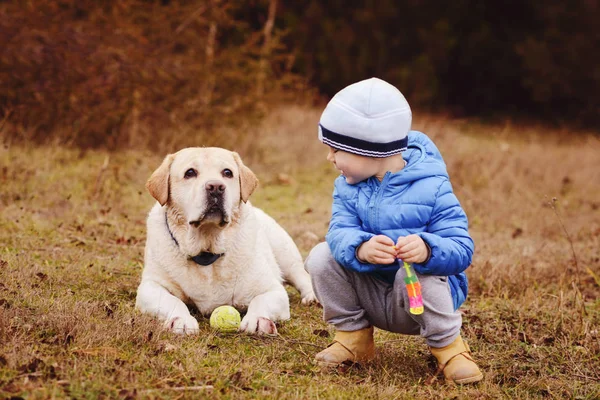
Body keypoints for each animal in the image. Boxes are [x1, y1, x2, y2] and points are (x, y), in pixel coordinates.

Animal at [134, 147, 316, 334]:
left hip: (285, 253)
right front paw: (181, 320)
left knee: (301, 275)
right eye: (190, 173)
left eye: (227, 173)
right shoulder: (150, 287)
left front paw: (258, 319)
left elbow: (260, 300)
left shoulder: (272, 290)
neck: (207, 249)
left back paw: (312, 296)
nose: (216, 187)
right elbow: (172, 301)